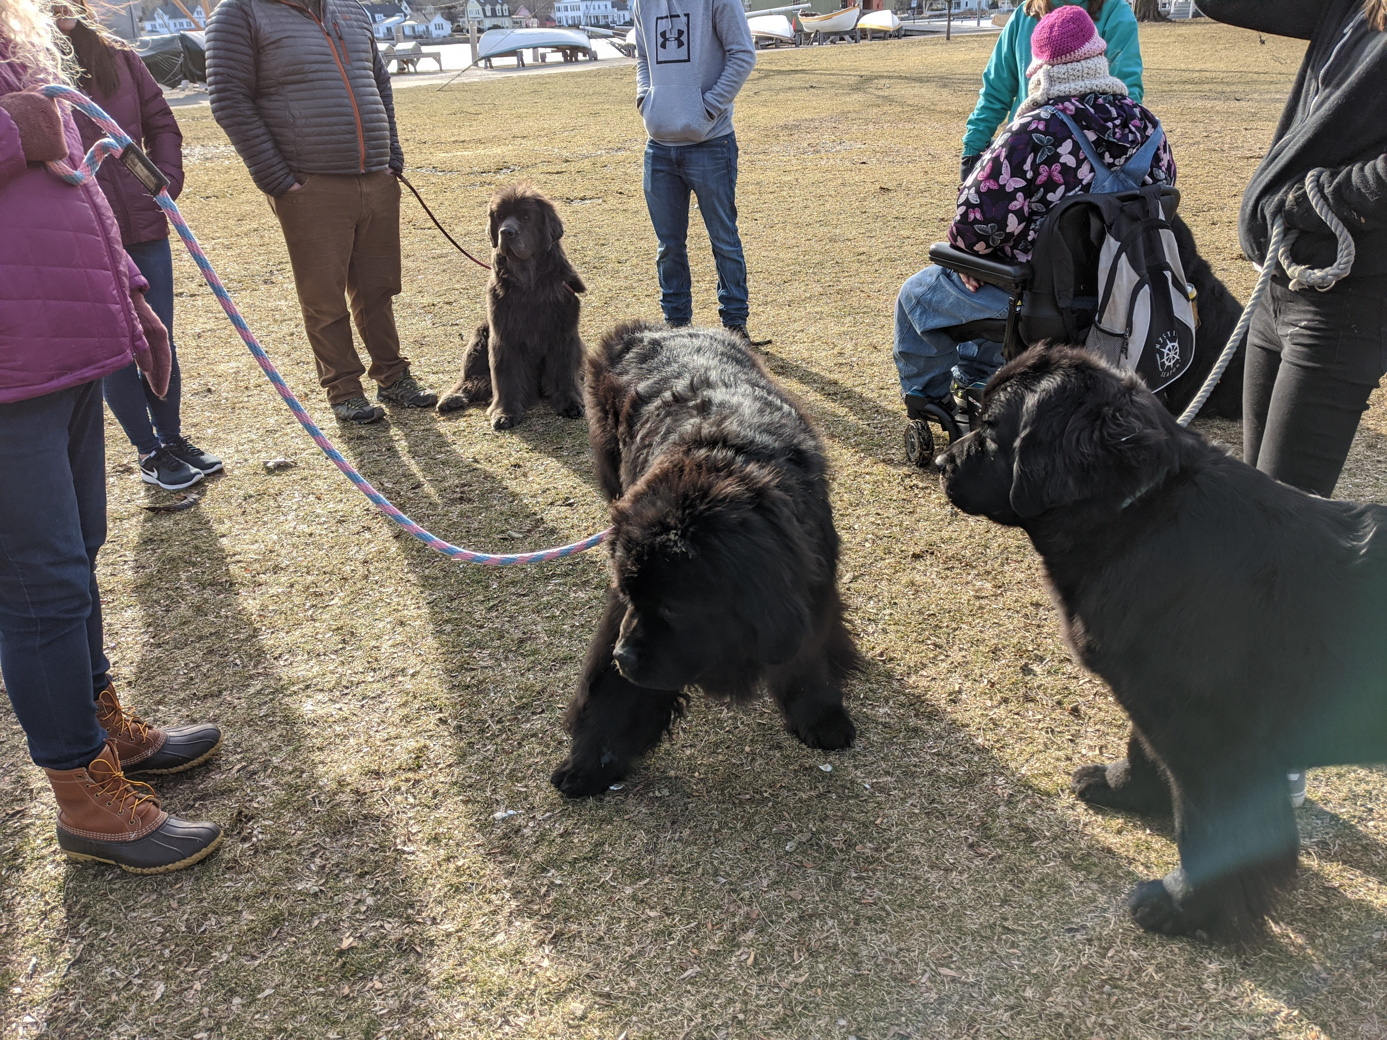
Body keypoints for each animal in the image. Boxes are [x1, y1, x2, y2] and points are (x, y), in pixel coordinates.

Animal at [435, 184, 582, 432]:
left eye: (526, 217)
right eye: (500, 216)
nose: (506, 232)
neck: (529, 282)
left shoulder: (564, 333)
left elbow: (564, 371)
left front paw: (570, 403)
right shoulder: (504, 336)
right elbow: (507, 377)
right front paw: (505, 412)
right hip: (481, 335)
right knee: (471, 378)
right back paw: (452, 398)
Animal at [549, 324, 854, 798]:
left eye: (675, 608)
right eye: (631, 596)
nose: (623, 656)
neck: (725, 464)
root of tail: (655, 328)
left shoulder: (811, 580)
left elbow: (808, 657)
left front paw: (822, 718)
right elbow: (614, 693)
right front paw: (588, 764)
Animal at [937, 343, 1381, 942]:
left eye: (989, 427)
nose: (943, 463)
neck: (1137, 514)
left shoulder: (1215, 741)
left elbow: (1210, 830)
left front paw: (1185, 906)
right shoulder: (1152, 693)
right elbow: (1140, 745)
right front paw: (1121, 786)